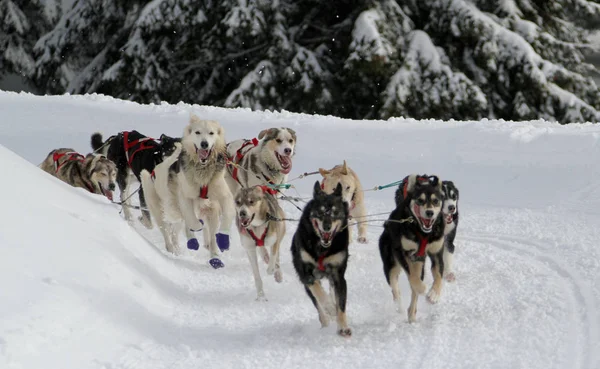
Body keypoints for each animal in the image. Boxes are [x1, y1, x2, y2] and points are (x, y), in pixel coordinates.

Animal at [140, 113, 234, 266]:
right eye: (197, 132)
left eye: (211, 133)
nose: (204, 144)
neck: (202, 171)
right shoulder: (185, 198)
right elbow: (193, 222)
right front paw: (196, 233)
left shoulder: (220, 199)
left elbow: (225, 219)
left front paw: (218, 250)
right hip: (160, 208)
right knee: (168, 232)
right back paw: (177, 247)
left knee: (177, 231)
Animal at [290, 181, 352, 336]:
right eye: (320, 211)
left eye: (335, 212)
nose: (327, 226)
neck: (322, 249)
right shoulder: (306, 275)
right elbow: (318, 292)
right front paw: (329, 307)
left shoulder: (338, 276)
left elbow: (341, 304)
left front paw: (343, 327)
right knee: (318, 306)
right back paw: (325, 320)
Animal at [380, 174, 446, 320]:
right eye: (420, 200)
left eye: (436, 201)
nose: (429, 212)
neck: (423, 233)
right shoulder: (402, 252)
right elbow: (412, 278)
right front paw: (423, 288)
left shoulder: (436, 252)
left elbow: (438, 275)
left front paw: (434, 294)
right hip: (392, 265)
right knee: (396, 288)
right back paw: (400, 306)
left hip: (419, 263)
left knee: (413, 290)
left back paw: (412, 313)